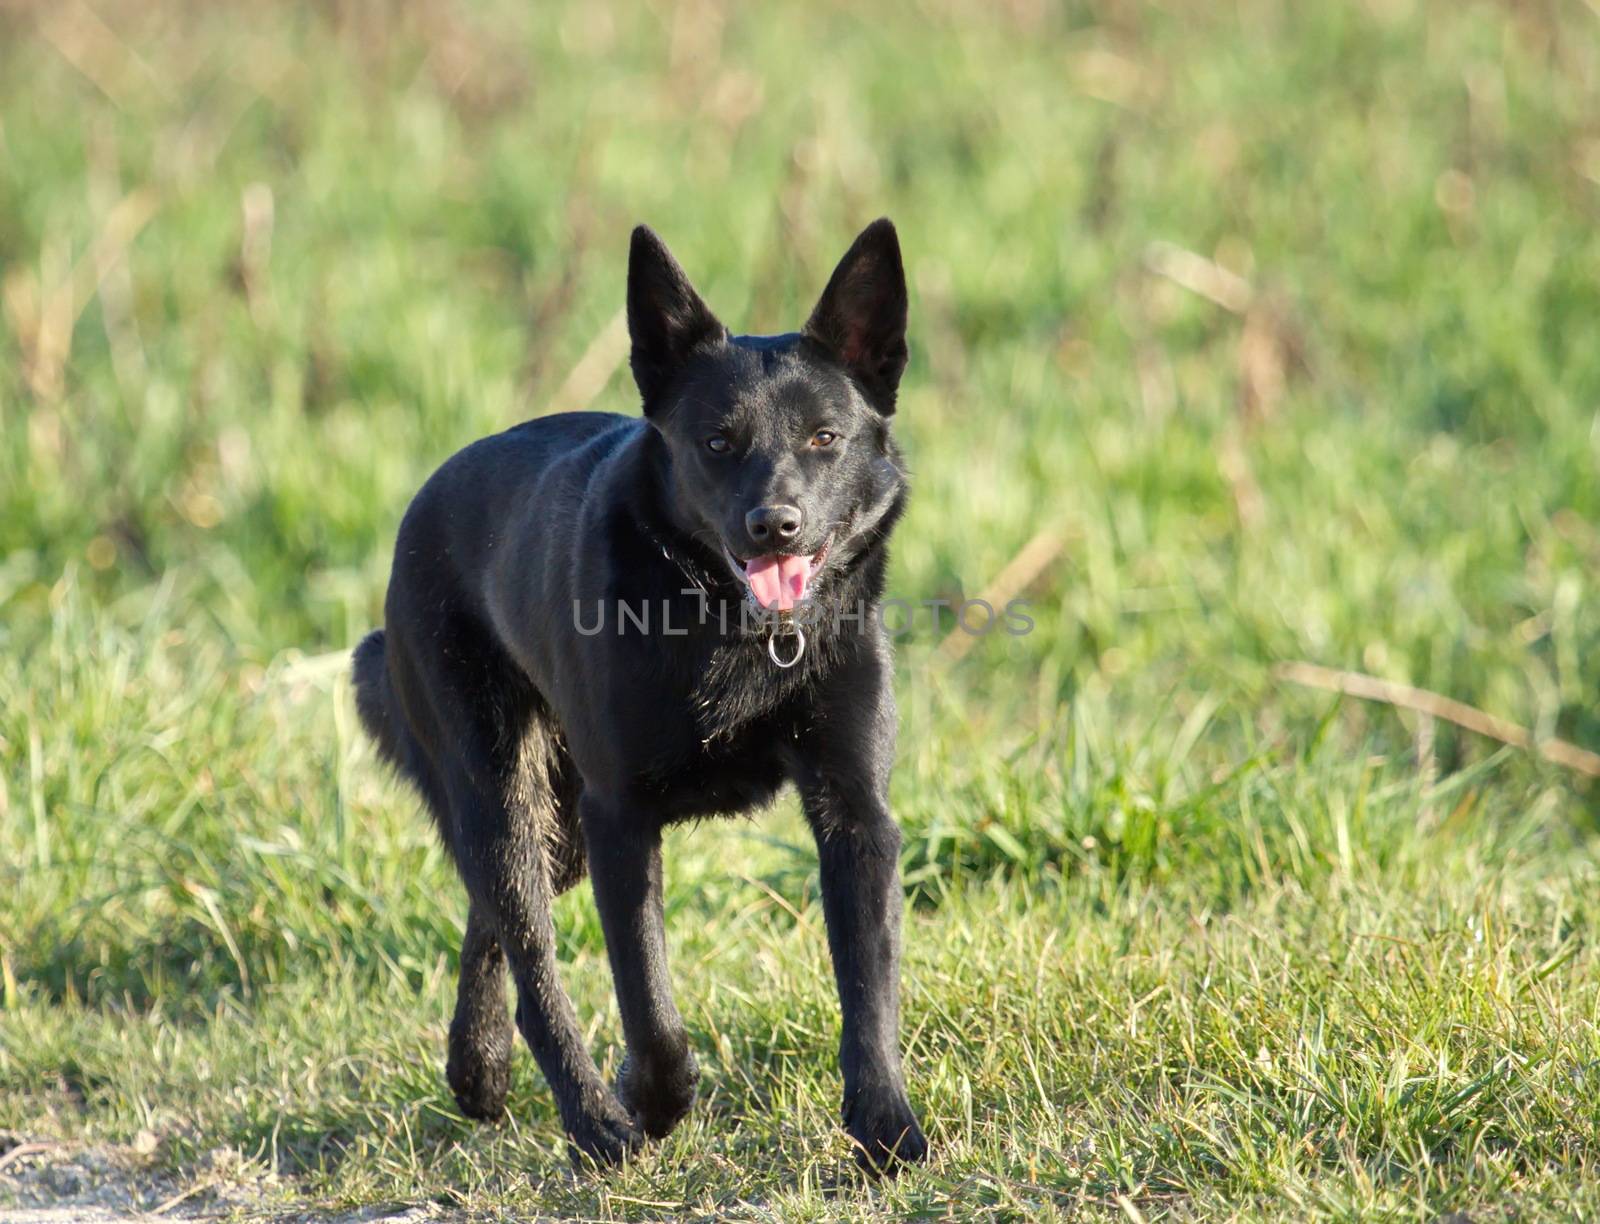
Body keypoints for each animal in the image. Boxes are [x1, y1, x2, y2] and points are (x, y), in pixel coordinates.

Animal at [350, 222, 928, 1177]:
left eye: (825, 437)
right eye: (718, 443)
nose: (775, 526)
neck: (733, 629)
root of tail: (423, 505)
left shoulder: (857, 816)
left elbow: (869, 991)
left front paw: (886, 1130)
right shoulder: (620, 816)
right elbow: (647, 1002)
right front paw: (654, 1102)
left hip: (558, 824)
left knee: (492, 919)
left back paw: (479, 1069)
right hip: (508, 791)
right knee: (531, 953)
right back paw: (591, 1123)